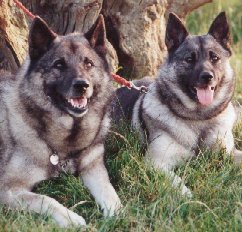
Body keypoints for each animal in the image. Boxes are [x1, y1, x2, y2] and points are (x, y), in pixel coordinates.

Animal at [0, 14, 121, 227]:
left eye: (88, 63)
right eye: (59, 65)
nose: (82, 85)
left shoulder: (93, 168)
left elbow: (109, 191)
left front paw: (118, 212)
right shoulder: (9, 189)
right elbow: (46, 199)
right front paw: (71, 219)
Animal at [112, 12, 241, 196]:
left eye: (214, 58)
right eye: (189, 59)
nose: (207, 76)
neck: (199, 118)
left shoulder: (229, 153)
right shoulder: (156, 163)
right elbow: (178, 183)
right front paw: (189, 197)